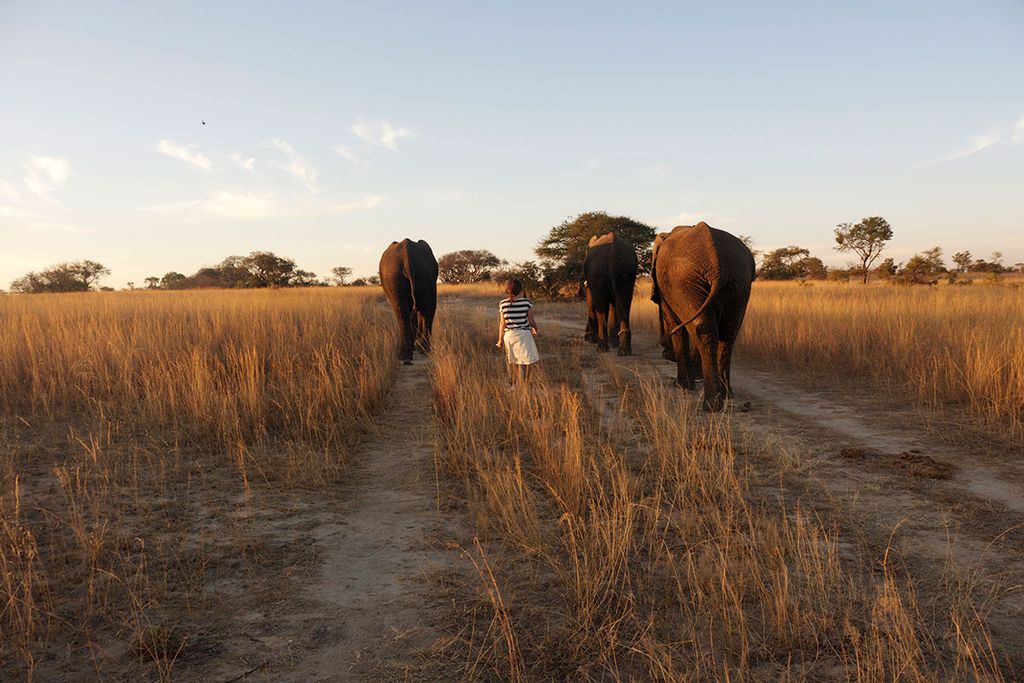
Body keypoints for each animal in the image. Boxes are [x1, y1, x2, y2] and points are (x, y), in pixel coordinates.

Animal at [655, 222, 753, 409]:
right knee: (728, 332)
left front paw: (681, 386)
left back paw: (711, 404)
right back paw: (726, 395)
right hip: (738, 282)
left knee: (705, 331)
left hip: (685, 283)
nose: (665, 353)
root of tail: (716, 266)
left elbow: (677, 327)